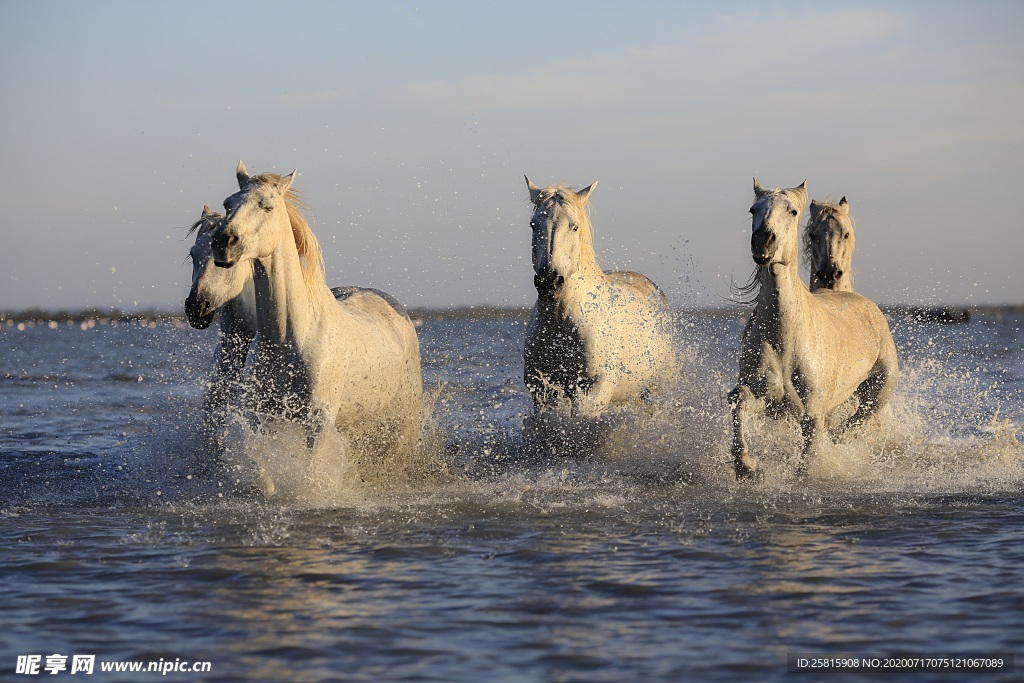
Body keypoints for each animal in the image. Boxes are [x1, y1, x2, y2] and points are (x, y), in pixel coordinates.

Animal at [205, 160, 421, 481]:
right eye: (228, 203)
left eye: (266, 206)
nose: (223, 243)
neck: (289, 338)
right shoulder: (265, 417)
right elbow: (263, 469)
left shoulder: (317, 423)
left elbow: (311, 470)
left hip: (404, 414)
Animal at [524, 176, 675, 421]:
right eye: (533, 225)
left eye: (574, 226)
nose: (549, 282)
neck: (562, 323)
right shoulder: (543, 392)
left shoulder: (592, 391)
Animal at [729, 180, 897, 481]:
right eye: (753, 209)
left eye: (792, 211)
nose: (763, 241)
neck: (785, 337)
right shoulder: (767, 398)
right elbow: (739, 400)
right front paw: (746, 466)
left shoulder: (812, 414)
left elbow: (808, 461)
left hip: (878, 392)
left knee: (853, 424)